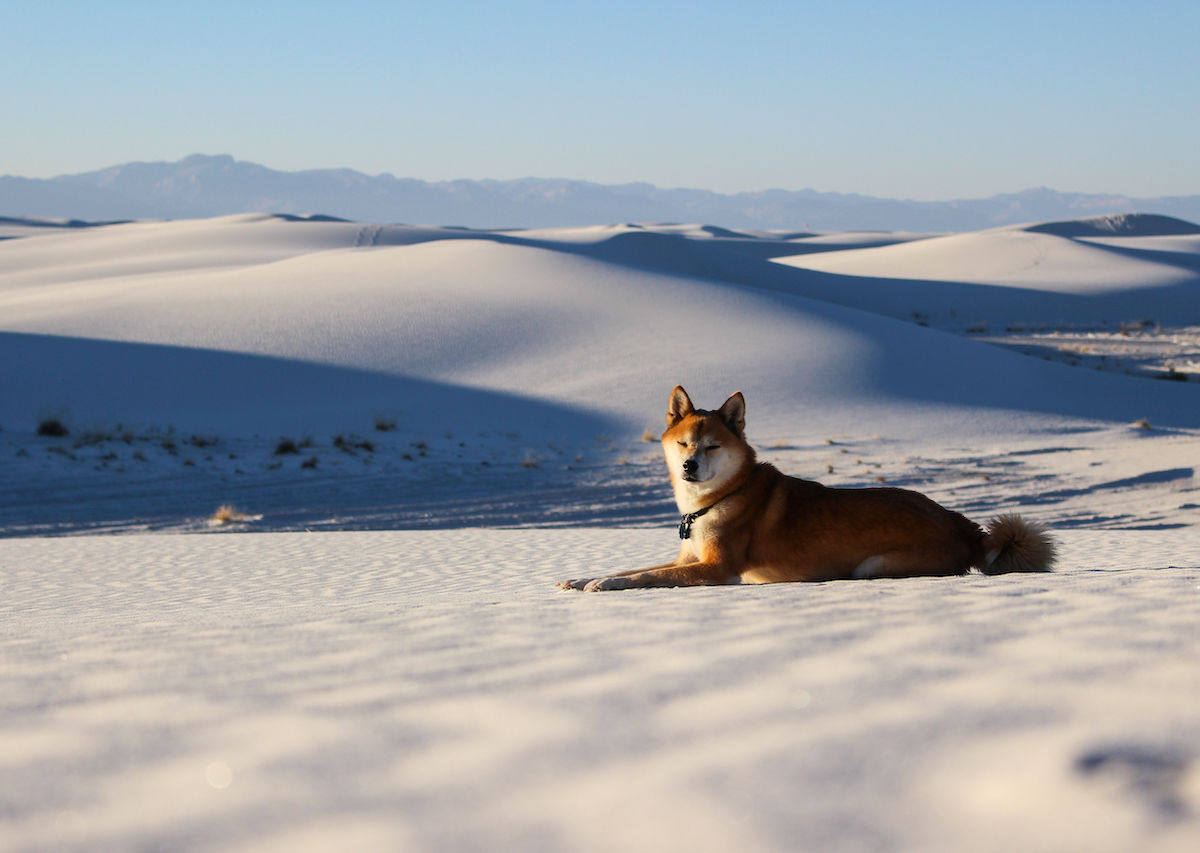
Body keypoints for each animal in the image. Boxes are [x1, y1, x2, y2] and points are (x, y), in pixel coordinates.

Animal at [556, 388, 1056, 595]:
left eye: (712, 445)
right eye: (683, 443)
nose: (688, 466)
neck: (718, 499)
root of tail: (963, 525)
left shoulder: (717, 569)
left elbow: (644, 576)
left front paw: (607, 584)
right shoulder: (688, 558)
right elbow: (636, 566)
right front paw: (583, 577)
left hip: (874, 565)